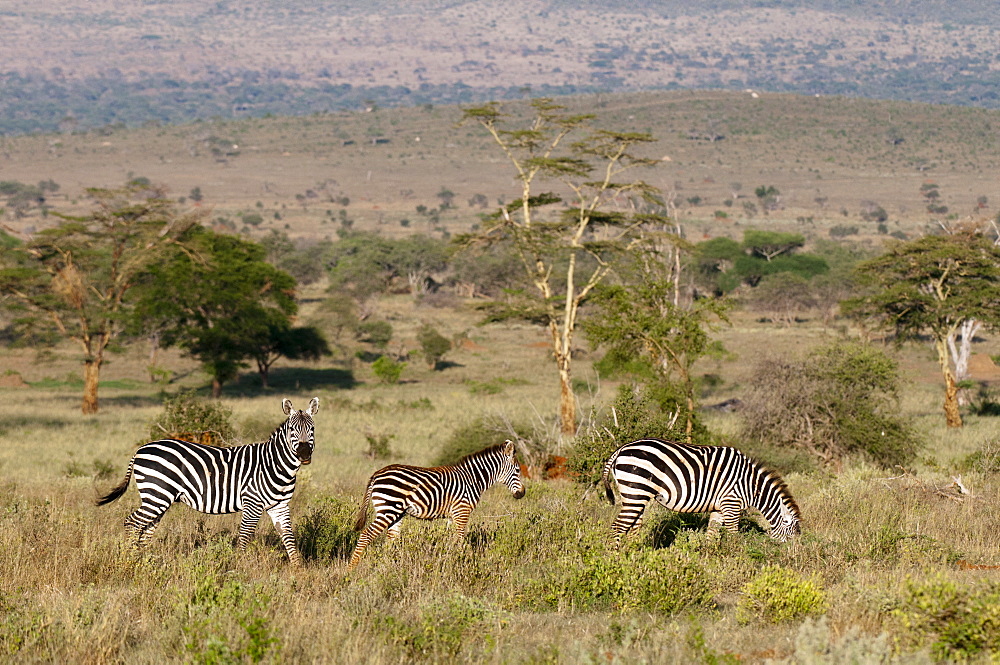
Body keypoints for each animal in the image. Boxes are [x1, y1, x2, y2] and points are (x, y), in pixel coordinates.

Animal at [95, 396, 318, 564]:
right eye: (292, 430)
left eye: (312, 429)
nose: (304, 454)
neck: (274, 464)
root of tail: (141, 449)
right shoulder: (252, 502)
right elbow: (245, 536)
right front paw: (239, 566)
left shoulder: (280, 505)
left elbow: (288, 537)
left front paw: (298, 571)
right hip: (157, 494)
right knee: (132, 522)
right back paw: (129, 560)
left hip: (158, 498)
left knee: (146, 528)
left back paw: (142, 561)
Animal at [348, 440, 528, 572]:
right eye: (517, 470)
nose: (522, 494)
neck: (472, 479)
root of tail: (376, 474)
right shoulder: (462, 511)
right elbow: (460, 539)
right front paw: (461, 562)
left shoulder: (453, 514)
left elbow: (450, 539)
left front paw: (448, 560)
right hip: (388, 509)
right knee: (366, 535)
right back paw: (351, 570)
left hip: (395, 513)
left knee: (390, 540)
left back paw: (387, 567)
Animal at [596, 434, 800, 548]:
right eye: (792, 534)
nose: (794, 555)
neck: (750, 485)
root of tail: (621, 448)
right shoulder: (732, 503)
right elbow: (733, 535)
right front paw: (737, 556)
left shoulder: (719, 507)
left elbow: (711, 534)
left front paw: (708, 560)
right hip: (637, 490)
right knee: (618, 527)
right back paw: (615, 560)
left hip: (635, 495)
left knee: (633, 526)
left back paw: (635, 555)